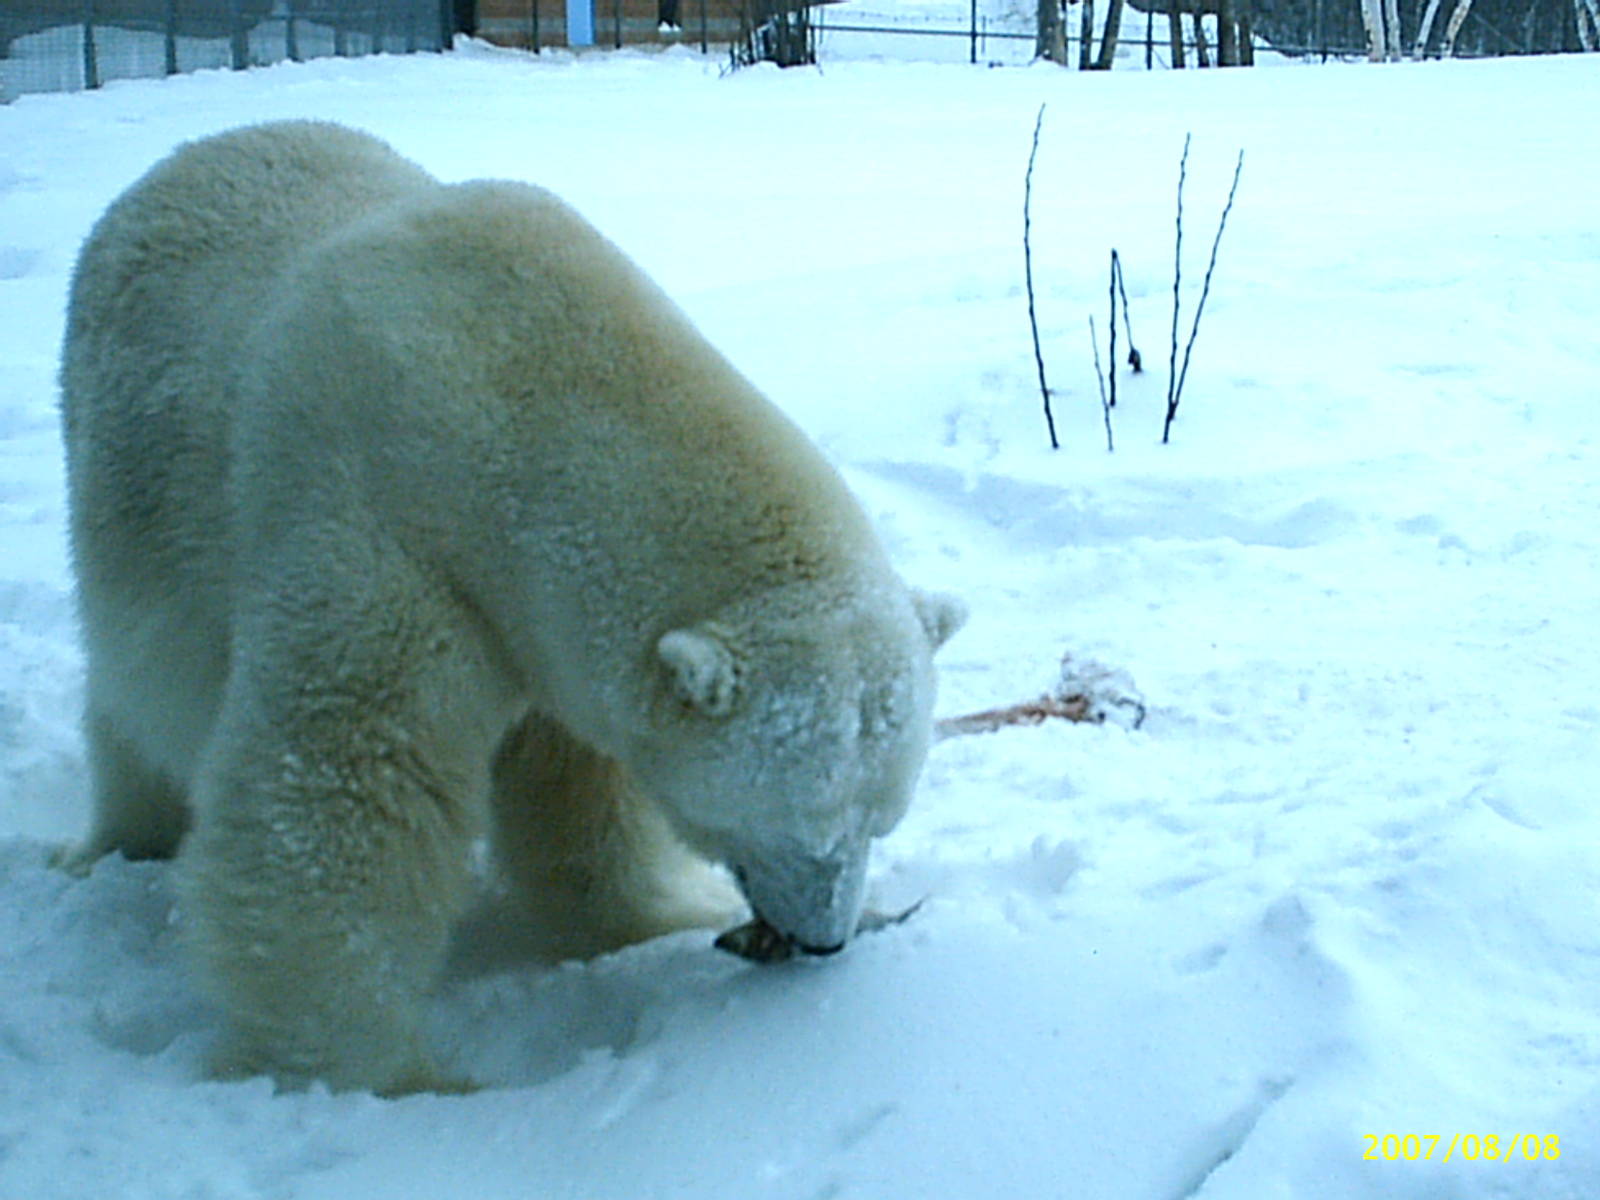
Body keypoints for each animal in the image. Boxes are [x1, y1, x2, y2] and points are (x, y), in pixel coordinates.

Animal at [56, 121, 964, 1095]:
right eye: (799, 824)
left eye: (882, 819)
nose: (826, 942)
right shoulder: (384, 530)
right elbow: (340, 791)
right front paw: (380, 1073)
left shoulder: (541, 616)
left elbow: (580, 784)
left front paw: (657, 915)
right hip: (132, 497)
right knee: (136, 695)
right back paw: (115, 843)